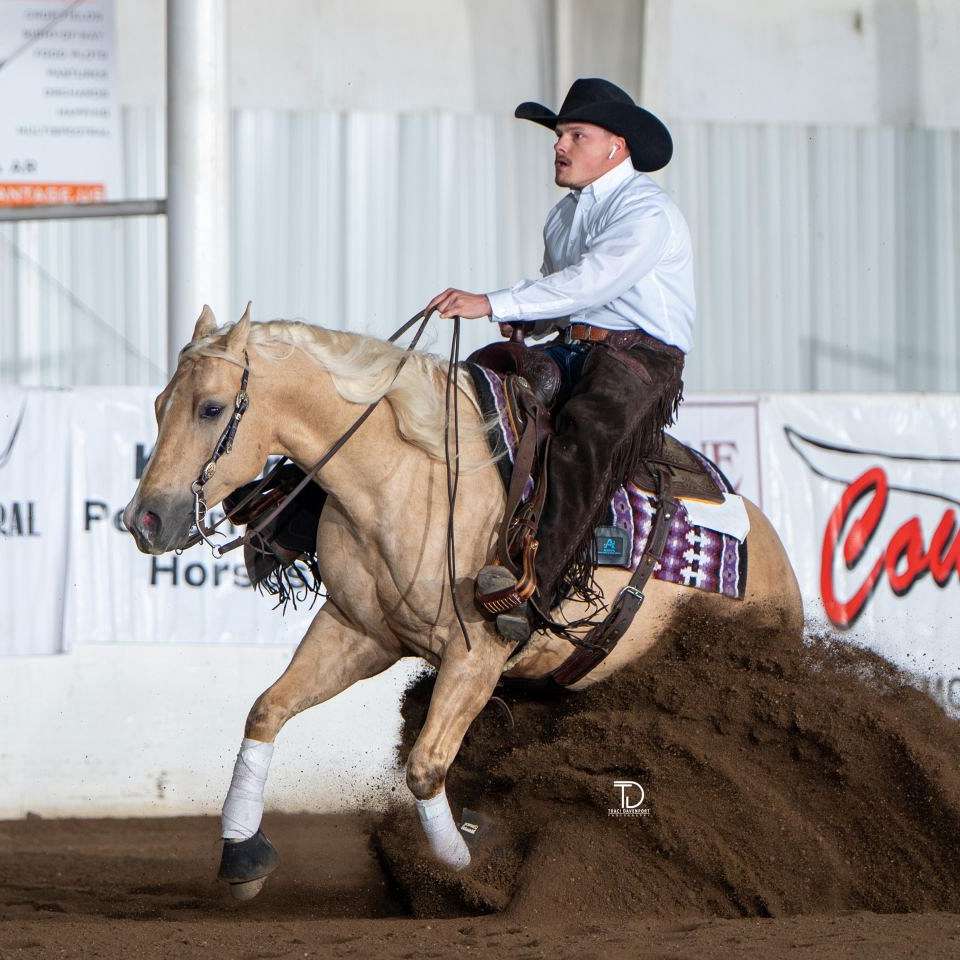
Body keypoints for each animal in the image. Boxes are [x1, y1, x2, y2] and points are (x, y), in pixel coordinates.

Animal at [123, 305, 803, 899]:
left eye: (212, 408)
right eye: (158, 406)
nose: (144, 519)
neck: (404, 476)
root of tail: (778, 566)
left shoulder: (477, 655)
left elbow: (425, 764)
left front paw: (464, 867)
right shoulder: (356, 632)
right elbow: (267, 710)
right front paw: (242, 853)